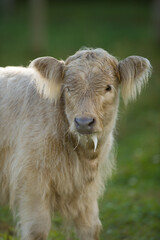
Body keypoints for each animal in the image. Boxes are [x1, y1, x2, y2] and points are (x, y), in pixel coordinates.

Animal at [0, 47, 151, 239]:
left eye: (108, 87)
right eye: (68, 88)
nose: (84, 122)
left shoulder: (87, 191)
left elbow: (91, 228)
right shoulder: (31, 181)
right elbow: (37, 229)